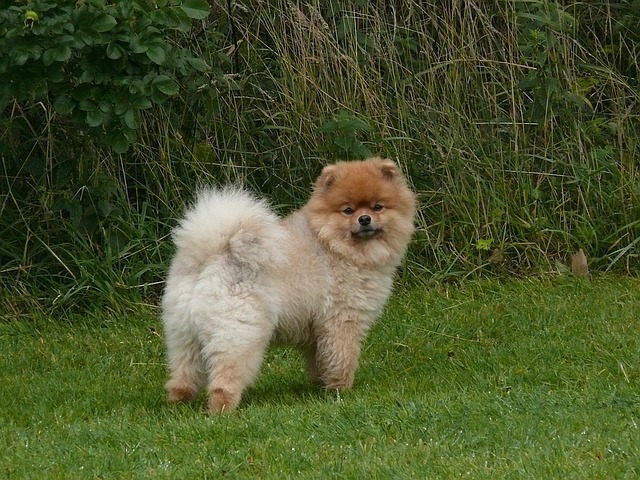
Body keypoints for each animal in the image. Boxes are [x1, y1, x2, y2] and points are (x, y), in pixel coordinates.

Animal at [162, 158, 418, 412]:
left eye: (378, 207)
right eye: (348, 210)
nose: (364, 219)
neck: (334, 245)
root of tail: (212, 258)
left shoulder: (317, 329)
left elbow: (320, 360)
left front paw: (321, 386)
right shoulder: (342, 321)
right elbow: (342, 357)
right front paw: (341, 390)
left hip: (183, 335)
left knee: (183, 374)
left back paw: (179, 403)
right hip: (238, 333)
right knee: (225, 375)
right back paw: (222, 409)